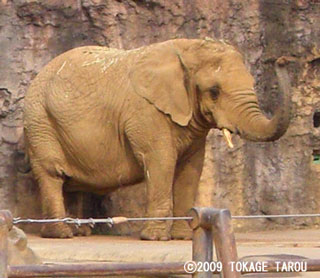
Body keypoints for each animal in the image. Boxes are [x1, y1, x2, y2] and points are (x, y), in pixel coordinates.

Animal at [23, 38, 292, 240]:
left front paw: (184, 237)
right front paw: (154, 238)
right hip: (39, 123)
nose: (282, 60)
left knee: (74, 184)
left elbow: (191, 169)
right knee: (52, 174)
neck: (186, 50)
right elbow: (161, 162)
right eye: (214, 92)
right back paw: (61, 234)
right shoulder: (146, 113)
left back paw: (80, 232)